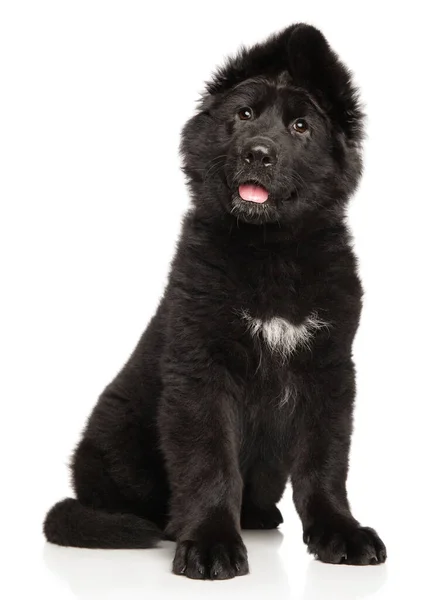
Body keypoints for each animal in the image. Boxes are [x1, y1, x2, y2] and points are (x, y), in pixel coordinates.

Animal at [44, 24, 386, 580]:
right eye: (244, 115)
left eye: (300, 126)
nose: (259, 153)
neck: (271, 251)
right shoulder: (201, 366)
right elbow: (209, 461)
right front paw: (209, 543)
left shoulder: (330, 369)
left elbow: (326, 462)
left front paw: (340, 532)